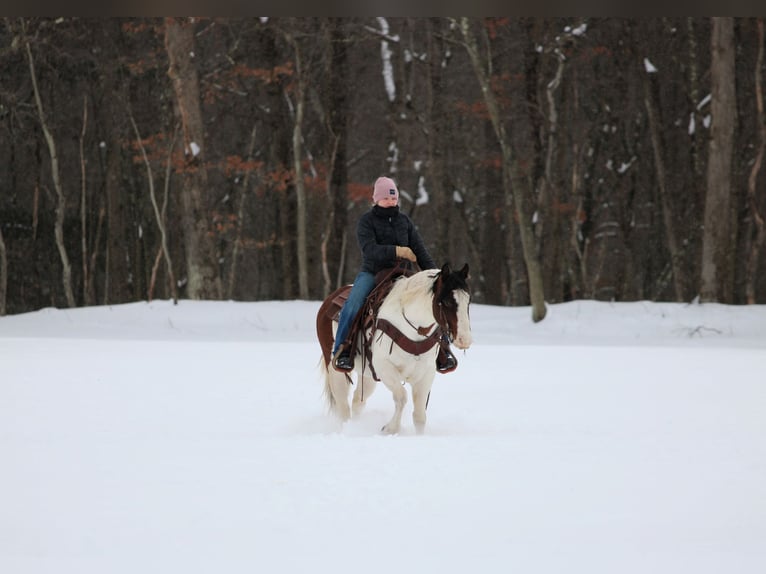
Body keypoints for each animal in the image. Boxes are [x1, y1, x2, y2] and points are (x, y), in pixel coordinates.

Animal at [316, 262, 472, 435]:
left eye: (468, 301)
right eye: (447, 302)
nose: (465, 340)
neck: (414, 327)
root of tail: (330, 300)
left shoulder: (426, 374)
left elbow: (419, 415)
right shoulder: (385, 367)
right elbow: (401, 397)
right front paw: (390, 428)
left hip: (367, 374)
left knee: (358, 400)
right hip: (334, 368)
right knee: (342, 403)